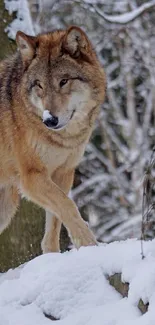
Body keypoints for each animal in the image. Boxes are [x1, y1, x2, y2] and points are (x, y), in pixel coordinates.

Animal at [0, 26, 105, 252]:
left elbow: (56, 221)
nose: (49, 120)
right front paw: (90, 245)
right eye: (39, 85)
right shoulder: (32, 177)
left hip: (6, 206)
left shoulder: (63, 173)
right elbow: (68, 205)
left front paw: (53, 254)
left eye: (63, 81)